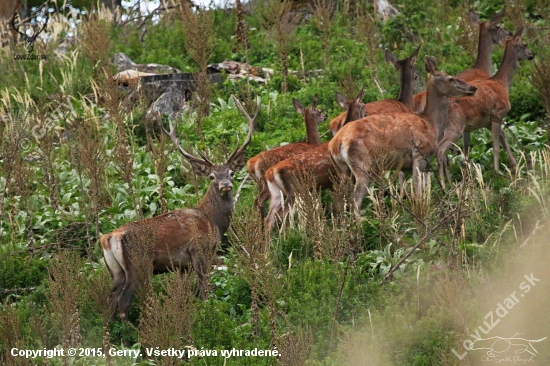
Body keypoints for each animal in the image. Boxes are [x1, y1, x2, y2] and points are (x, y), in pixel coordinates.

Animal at [102, 96, 260, 318]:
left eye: (231, 173)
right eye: (212, 176)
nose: (225, 185)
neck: (213, 222)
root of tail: (109, 237)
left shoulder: (181, 266)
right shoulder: (199, 250)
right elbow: (204, 290)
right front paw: (207, 311)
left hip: (115, 271)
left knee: (109, 301)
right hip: (138, 265)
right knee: (123, 301)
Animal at [266, 89, 368, 229]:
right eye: (363, 105)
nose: (367, 113)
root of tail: (270, 173)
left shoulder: (330, 183)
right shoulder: (338, 179)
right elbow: (341, 204)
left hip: (277, 194)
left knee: (269, 218)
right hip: (294, 191)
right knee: (281, 215)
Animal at [328, 57, 478, 214]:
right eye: (450, 78)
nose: (473, 88)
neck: (432, 124)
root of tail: (336, 143)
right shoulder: (419, 154)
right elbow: (418, 191)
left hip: (342, 169)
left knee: (341, 200)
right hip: (362, 166)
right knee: (355, 202)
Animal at [438, 27, 536, 186]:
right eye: (524, 44)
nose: (532, 54)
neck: (503, 83)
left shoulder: (487, 122)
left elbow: (503, 138)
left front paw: (514, 167)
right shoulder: (498, 114)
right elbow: (495, 146)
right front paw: (498, 171)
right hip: (455, 125)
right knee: (440, 150)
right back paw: (444, 183)